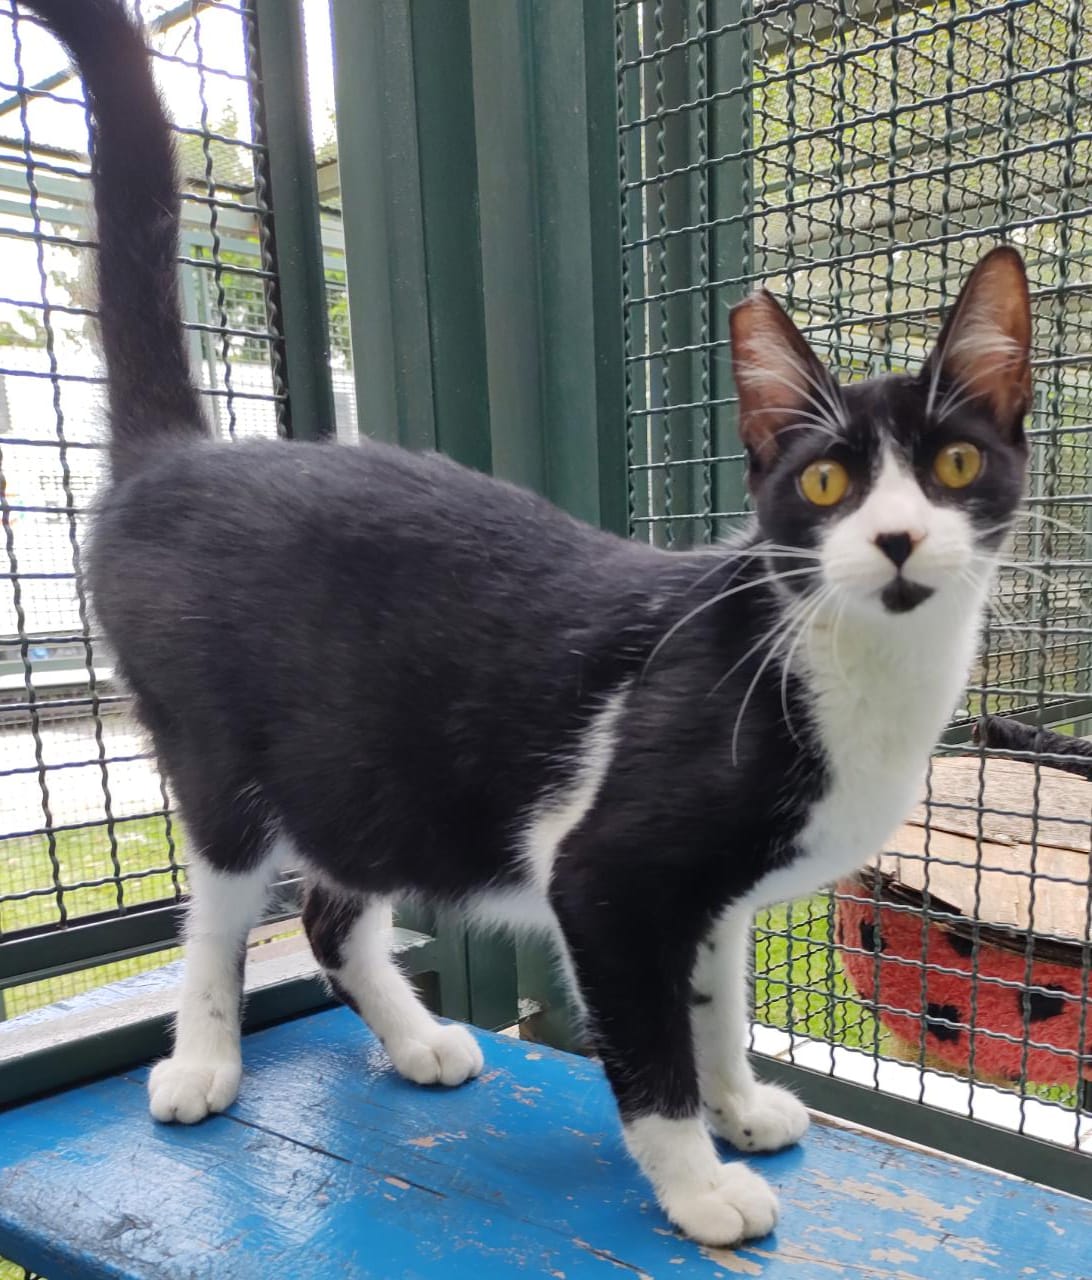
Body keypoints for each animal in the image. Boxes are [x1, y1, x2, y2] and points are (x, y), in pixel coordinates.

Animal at [27, 0, 1029, 1244]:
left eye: (954, 465)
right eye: (828, 484)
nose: (896, 538)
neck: (853, 670)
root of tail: (180, 459)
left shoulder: (713, 897)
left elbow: (714, 1002)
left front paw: (740, 1105)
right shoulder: (604, 874)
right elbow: (648, 1043)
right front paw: (696, 1179)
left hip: (366, 763)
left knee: (332, 909)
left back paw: (418, 1040)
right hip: (222, 754)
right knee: (216, 911)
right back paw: (202, 1058)